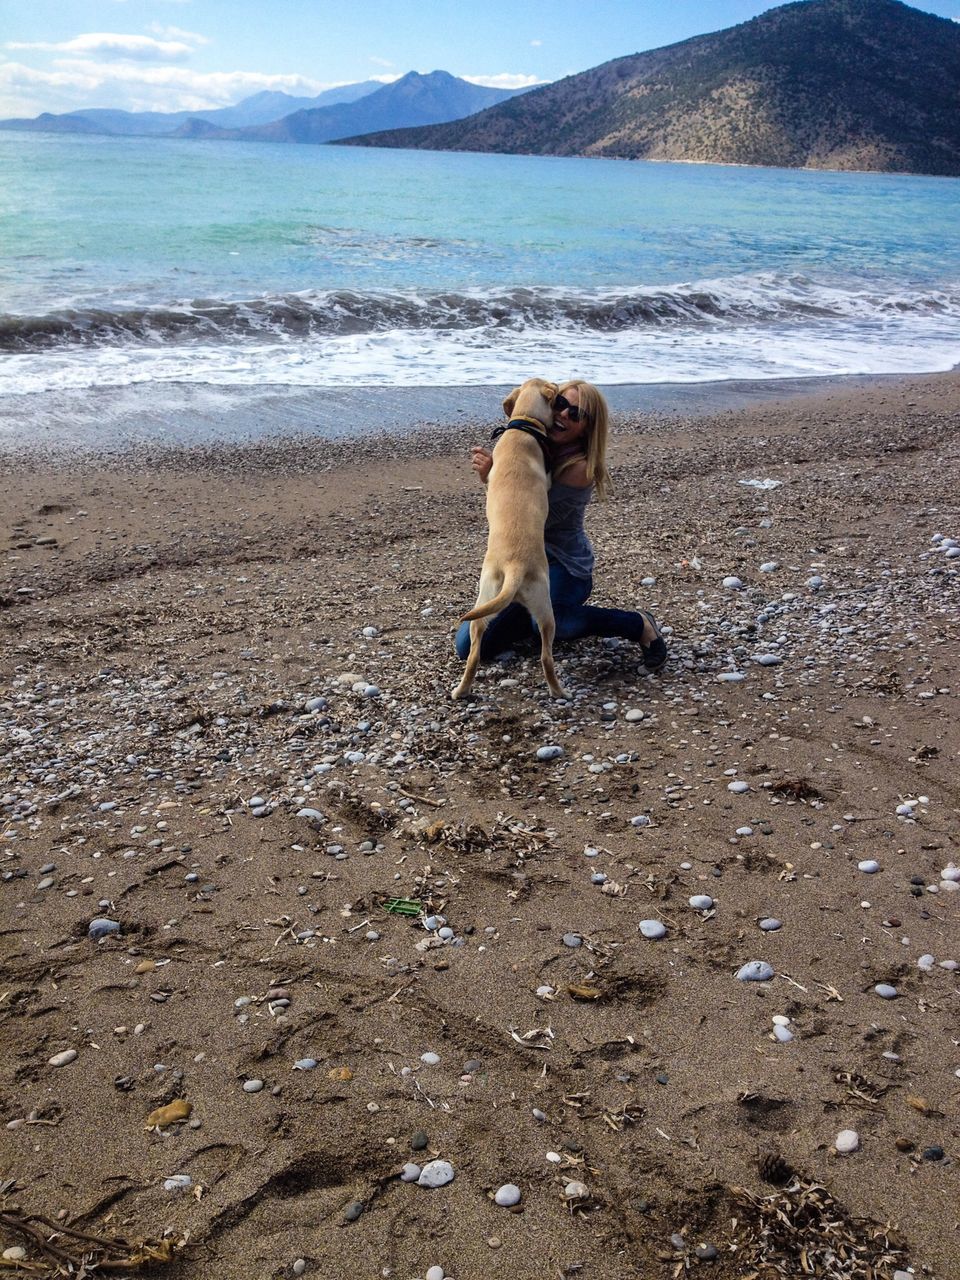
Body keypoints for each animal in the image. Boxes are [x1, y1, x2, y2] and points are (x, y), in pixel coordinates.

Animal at [453, 378, 568, 701]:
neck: (523, 426)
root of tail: (515, 566)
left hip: (484, 603)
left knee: (475, 653)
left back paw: (461, 690)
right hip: (546, 611)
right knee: (546, 657)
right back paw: (560, 692)